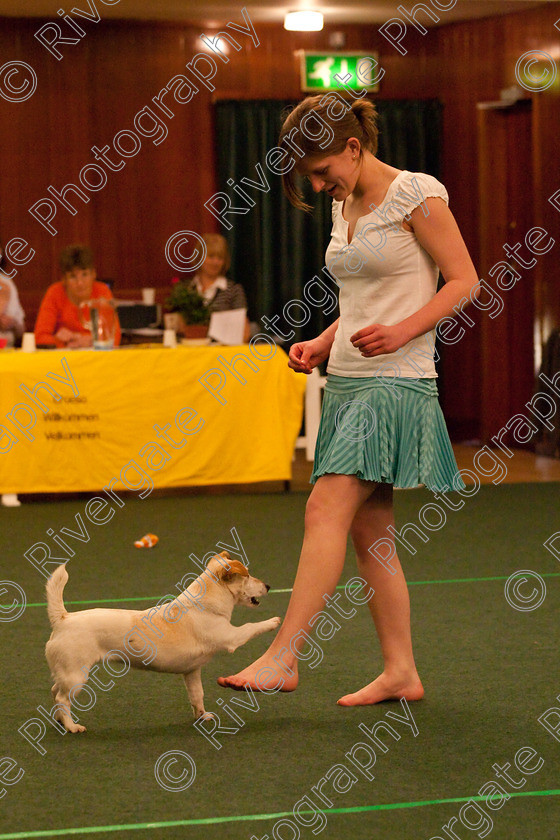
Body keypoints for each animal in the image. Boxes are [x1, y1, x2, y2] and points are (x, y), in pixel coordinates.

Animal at [43, 552, 280, 728]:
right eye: (247, 576)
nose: (269, 586)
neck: (206, 603)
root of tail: (63, 618)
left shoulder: (192, 672)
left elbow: (197, 696)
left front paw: (202, 716)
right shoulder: (232, 637)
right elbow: (251, 627)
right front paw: (274, 621)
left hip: (68, 674)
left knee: (55, 691)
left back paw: (60, 721)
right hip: (76, 676)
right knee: (62, 699)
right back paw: (72, 726)